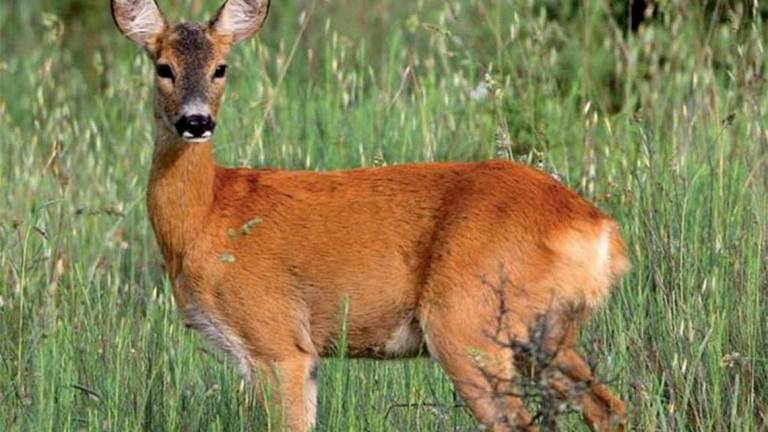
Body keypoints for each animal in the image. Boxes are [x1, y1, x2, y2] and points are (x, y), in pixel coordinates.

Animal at [112, 1, 632, 430]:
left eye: (221, 68)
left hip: (468, 321)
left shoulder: (277, 341)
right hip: (546, 333)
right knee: (609, 406)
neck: (208, 217)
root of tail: (600, 229)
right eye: (163, 67)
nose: (195, 121)